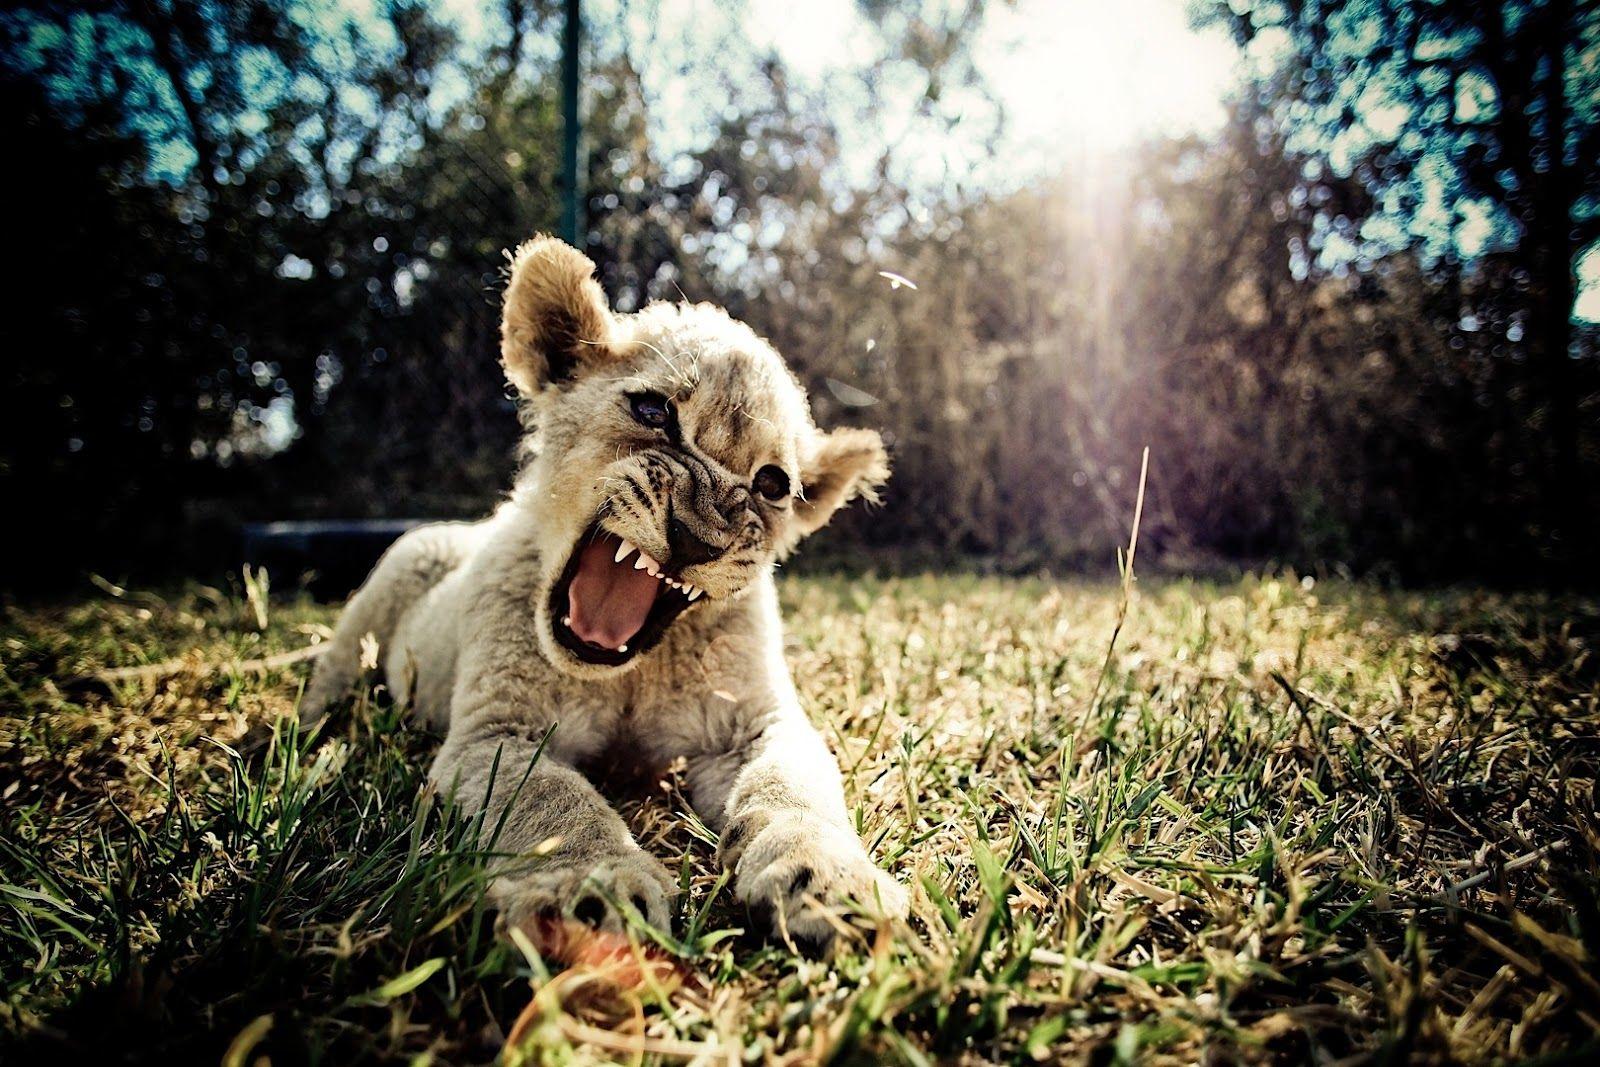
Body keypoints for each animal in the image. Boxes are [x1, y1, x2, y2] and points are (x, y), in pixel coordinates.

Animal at [302, 235, 907, 945]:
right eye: (652, 410)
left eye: (773, 484)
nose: (697, 538)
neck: (626, 674)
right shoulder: (494, 734)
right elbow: (551, 800)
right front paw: (594, 886)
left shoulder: (753, 723)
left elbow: (794, 785)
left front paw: (830, 880)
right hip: (376, 601)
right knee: (334, 675)